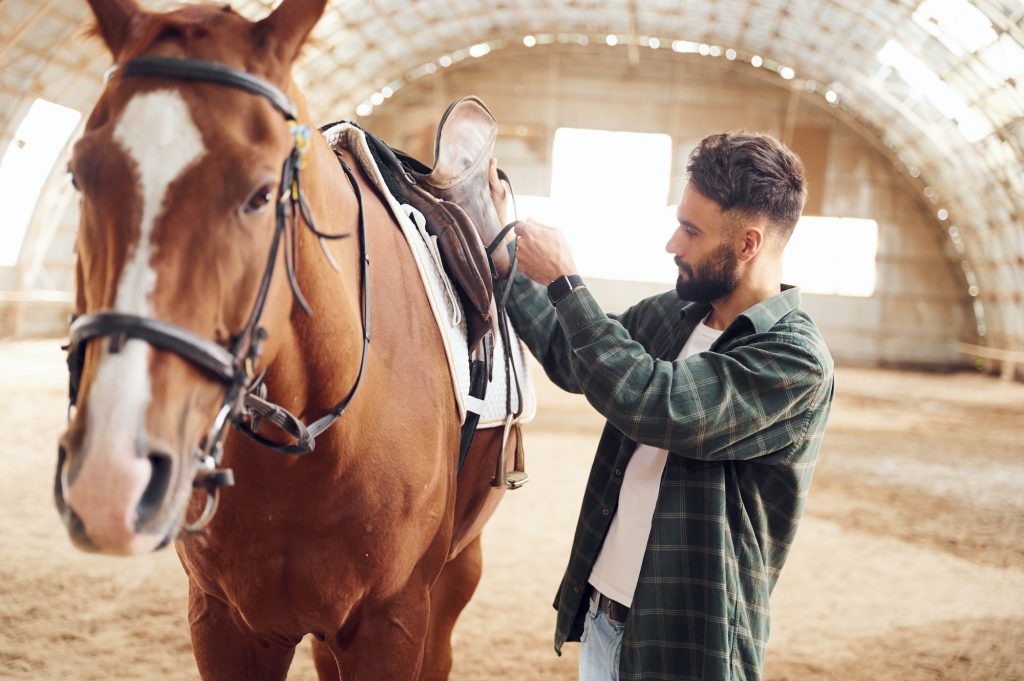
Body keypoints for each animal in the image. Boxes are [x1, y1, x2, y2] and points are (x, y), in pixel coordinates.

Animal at [54, 1, 520, 675]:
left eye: (261, 194)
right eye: (78, 176)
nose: (111, 479)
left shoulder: (394, 623)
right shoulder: (224, 622)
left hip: (457, 571)